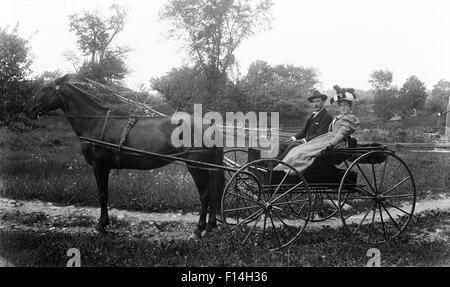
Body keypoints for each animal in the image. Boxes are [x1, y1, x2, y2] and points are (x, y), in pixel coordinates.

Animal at [27, 73, 224, 238]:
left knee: (205, 195)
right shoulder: (104, 167)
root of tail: (209, 125)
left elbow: (102, 194)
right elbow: (105, 194)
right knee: (213, 193)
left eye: (44, 89)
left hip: (196, 166)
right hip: (207, 167)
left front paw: (101, 225)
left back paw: (198, 231)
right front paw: (103, 223)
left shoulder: (99, 166)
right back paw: (210, 226)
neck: (95, 122)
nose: (29, 109)